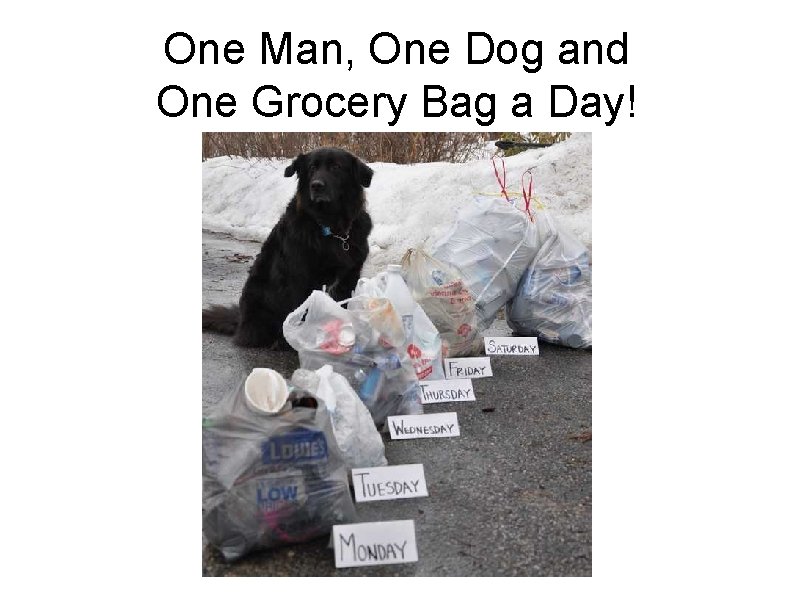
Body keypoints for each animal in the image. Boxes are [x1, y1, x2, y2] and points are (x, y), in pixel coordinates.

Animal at [204, 146, 378, 346]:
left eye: (336, 167)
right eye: (312, 168)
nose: (316, 185)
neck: (331, 227)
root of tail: (240, 321)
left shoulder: (349, 277)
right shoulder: (299, 277)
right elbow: (301, 313)